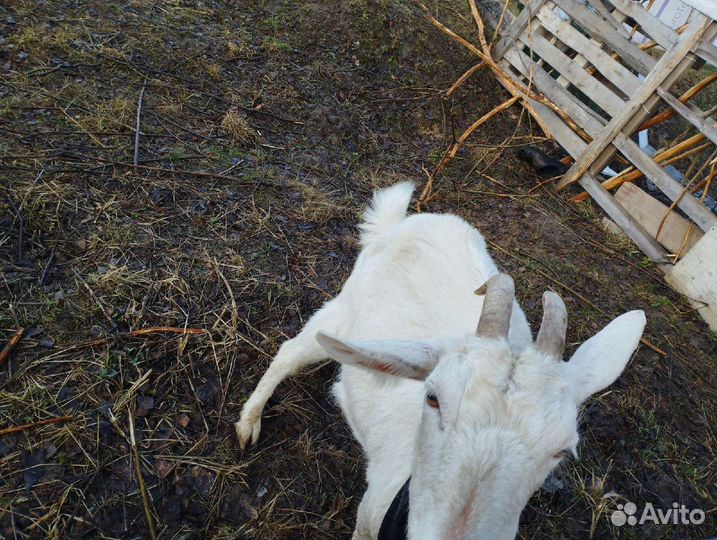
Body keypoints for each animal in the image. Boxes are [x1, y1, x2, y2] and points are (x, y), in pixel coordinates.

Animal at [236, 182, 645, 540]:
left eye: (562, 450)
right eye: (433, 399)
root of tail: (403, 221)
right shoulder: (367, 518)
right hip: (343, 311)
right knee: (291, 352)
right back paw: (249, 423)